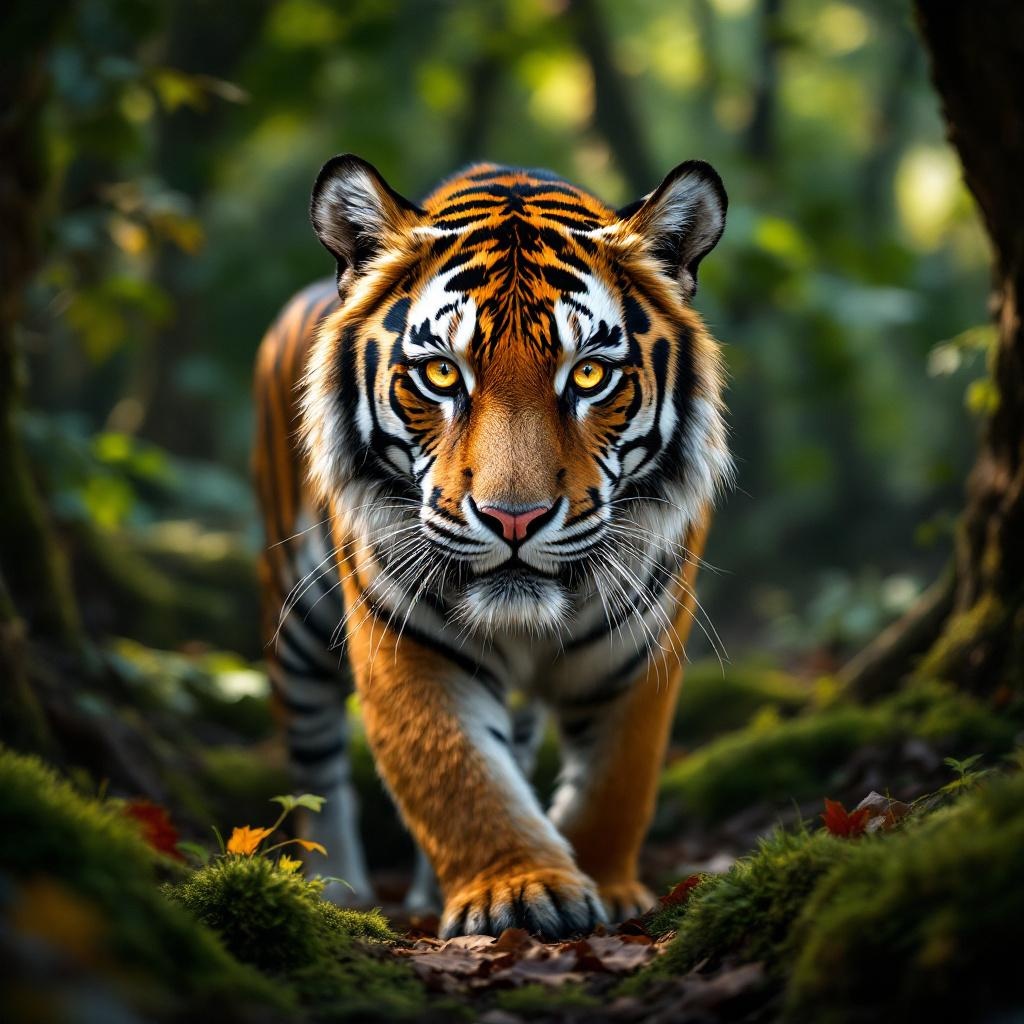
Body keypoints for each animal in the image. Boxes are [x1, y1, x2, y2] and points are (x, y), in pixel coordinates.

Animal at [253, 154, 730, 940]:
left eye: (589, 374)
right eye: (442, 373)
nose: (514, 518)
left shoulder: (644, 645)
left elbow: (618, 780)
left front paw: (606, 885)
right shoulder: (405, 644)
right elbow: (457, 773)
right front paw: (522, 890)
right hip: (295, 620)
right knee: (315, 760)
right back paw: (337, 888)